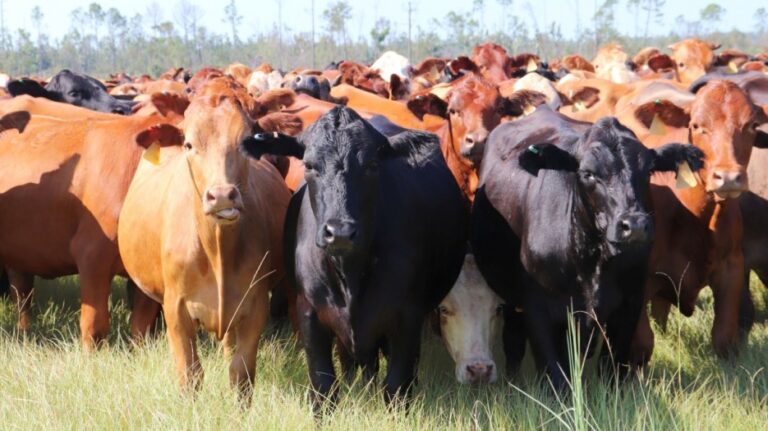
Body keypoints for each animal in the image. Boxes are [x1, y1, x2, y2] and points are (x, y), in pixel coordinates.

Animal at [117, 84, 291, 397]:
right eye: (188, 144)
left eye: (246, 141)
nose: (221, 196)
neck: (216, 249)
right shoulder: (175, 308)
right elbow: (190, 374)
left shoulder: (255, 306)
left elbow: (241, 374)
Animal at [240, 106, 468, 409]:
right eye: (309, 166)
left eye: (372, 165)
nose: (340, 232)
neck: (350, 274)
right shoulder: (309, 311)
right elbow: (323, 384)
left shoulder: (408, 315)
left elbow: (396, 386)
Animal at [470, 106, 703, 388]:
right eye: (588, 174)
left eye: (648, 171)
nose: (635, 225)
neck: (592, 263)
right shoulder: (539, 309)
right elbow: (555, 374)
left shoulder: (629, 304)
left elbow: (613, 370)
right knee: (514, 342)